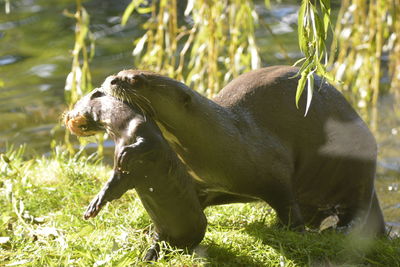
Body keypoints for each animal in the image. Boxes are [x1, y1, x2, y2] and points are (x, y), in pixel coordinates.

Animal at [64, 91, 208, 262]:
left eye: (76, 104)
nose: (66, 117)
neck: (123, 127)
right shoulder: (123, 174)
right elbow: (112, 187)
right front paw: (93, 206)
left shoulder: (145, 130)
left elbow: (147, 144)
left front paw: (126, 153)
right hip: (161, 232)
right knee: (160, 242)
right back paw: (148, 256)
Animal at [95, 66, 386, 234]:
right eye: (123, 70)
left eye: (136, 80)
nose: (111, 80)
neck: (227, 138)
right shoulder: (204, 182)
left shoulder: (275, 170)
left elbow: (286, 201)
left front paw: (293, 230)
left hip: (356, 167)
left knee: (359, 206)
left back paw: (342, 229)